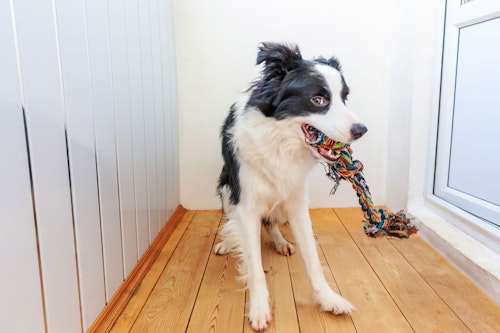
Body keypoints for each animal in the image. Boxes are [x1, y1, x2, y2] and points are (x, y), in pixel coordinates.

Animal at [215, 42, 368, 330]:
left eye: (344, 98)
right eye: (318, 99)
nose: (361, 130)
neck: (279, 142)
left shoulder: (297, 203)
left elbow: (314, 260)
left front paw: (328, 298)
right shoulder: (246, 205)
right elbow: (254, 265)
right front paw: (259, 308)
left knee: (271, 224)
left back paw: (281, 242)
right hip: (227, 191)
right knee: (234, 223)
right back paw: (226, 243)